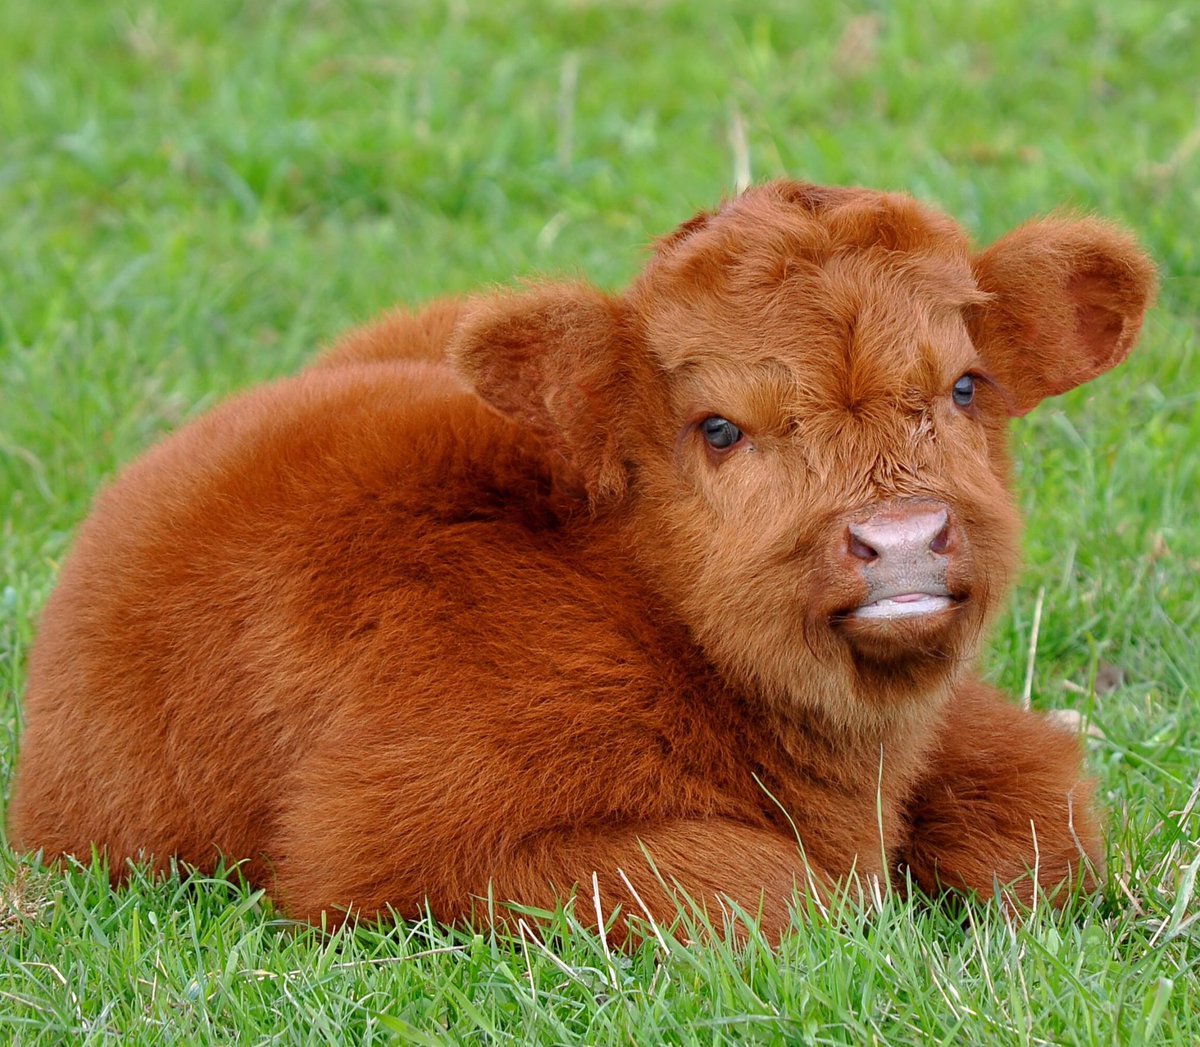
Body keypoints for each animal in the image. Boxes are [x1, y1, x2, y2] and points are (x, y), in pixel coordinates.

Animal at [8, 181, 1155, 941]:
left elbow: (1044, 820)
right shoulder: (397, 848)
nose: (904, 537)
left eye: (964, 387)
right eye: (718, 427)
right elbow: (774, 891)